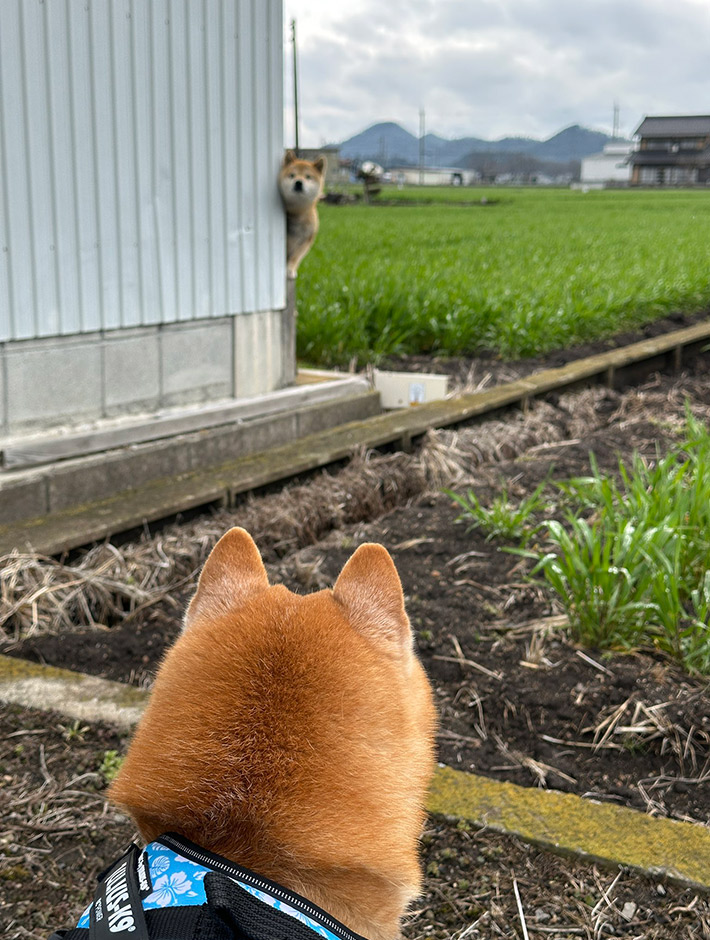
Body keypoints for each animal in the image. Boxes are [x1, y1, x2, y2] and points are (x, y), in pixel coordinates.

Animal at [280, 151, 326, 280]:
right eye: (292, 175)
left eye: (308, 176)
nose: (298, 182)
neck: (297, 213)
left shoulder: (306, 240)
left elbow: (295, 257)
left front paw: (290, 269)